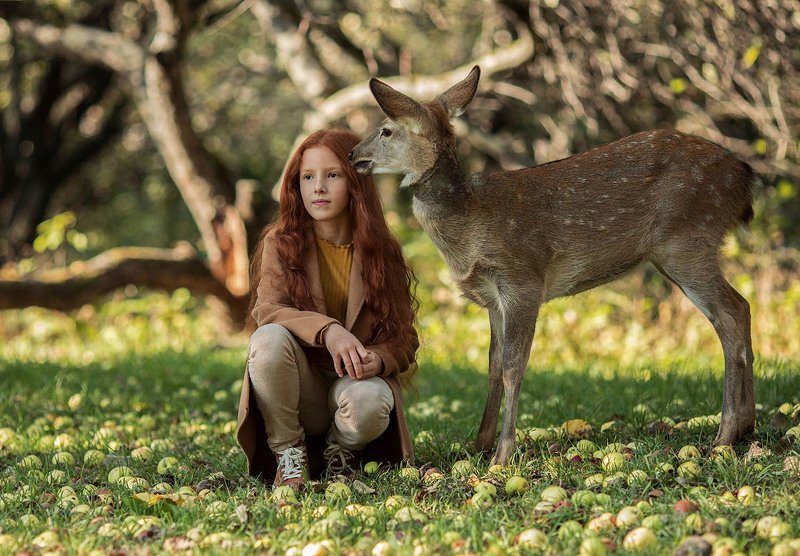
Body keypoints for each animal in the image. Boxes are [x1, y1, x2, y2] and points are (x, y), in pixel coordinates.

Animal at [349, 65, 757, 464]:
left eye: (386, 129)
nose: (353, 154)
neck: (469, 219)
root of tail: (744, 178)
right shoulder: (491, 297)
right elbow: (493, 365)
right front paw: (479, 444)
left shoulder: (522, 278)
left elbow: (514, 366)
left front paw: (502, 454)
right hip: (680, 250)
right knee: (743, 306)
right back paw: (746, 429)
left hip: (687, 240)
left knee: (731, 314)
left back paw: (724, 436)